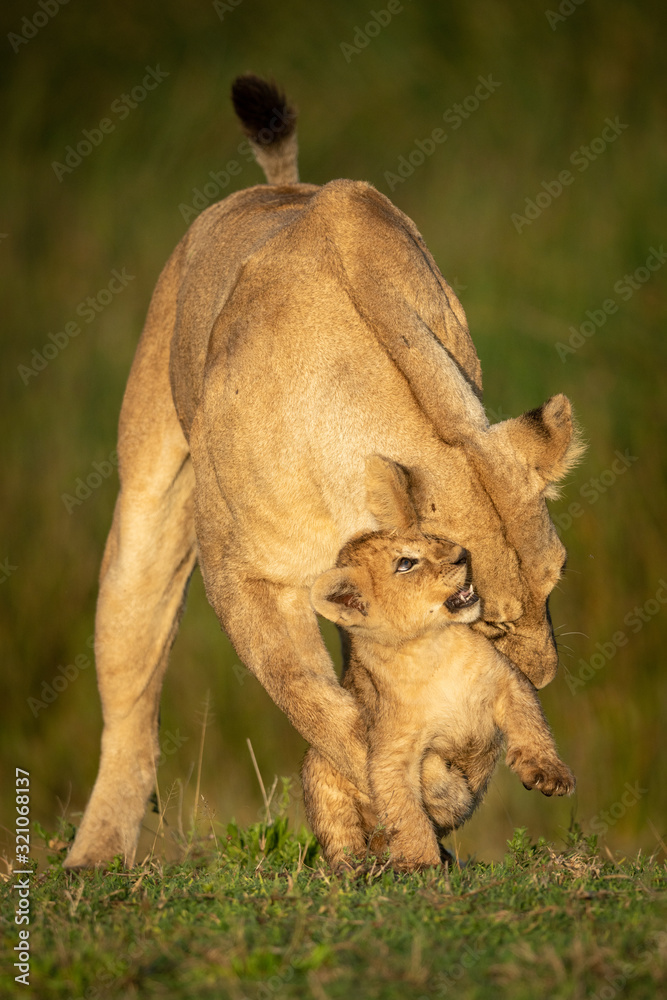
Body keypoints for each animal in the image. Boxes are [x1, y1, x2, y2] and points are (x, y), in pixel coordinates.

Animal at [302, 456, 575, 871]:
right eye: (405, 563)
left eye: (431, 538)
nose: (462, 555)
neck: (432, 647)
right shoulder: (390, 752)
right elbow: (405, 808)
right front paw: (420, 862)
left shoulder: (506, 680)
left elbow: (532, 724)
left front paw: (548, 773)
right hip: (320, 776)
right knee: (342, 840)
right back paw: (363, 866)